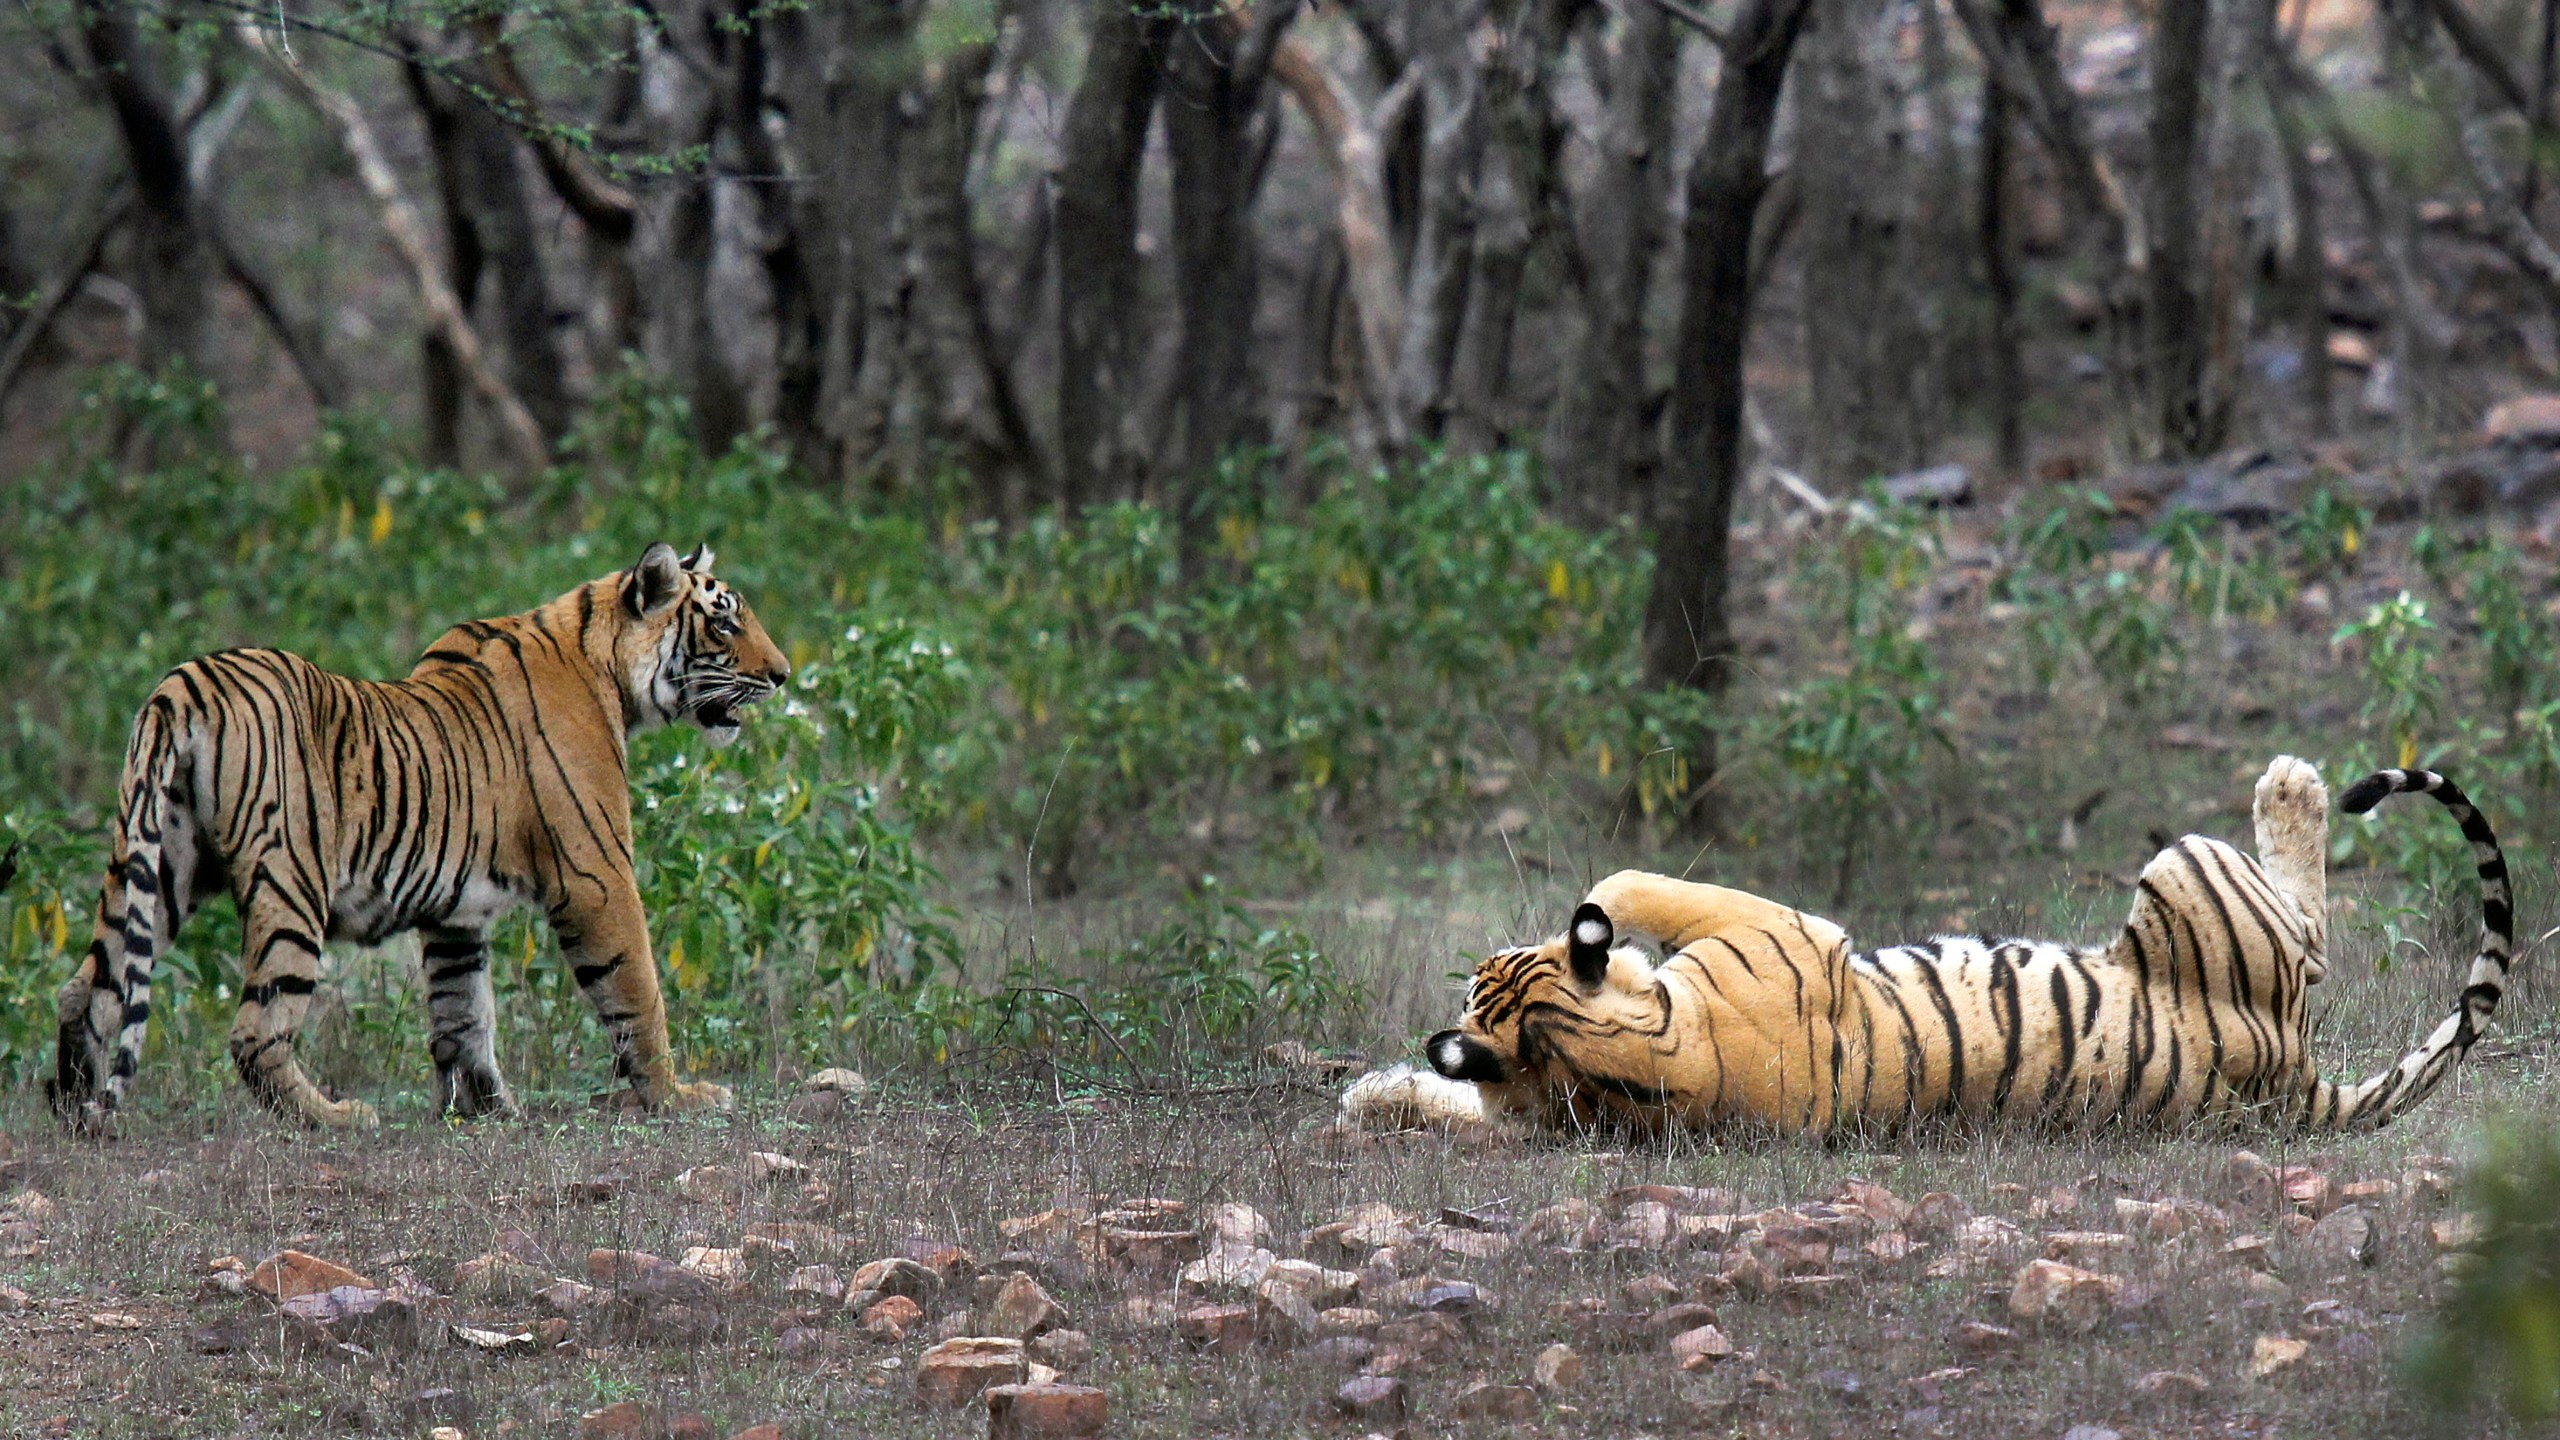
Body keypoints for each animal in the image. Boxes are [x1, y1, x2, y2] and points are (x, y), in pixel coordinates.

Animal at [49, 543, 783, 1127]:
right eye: (725, 621)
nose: (781, 674)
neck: (606, 667)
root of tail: (185, 683)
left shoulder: (456, 913)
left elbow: (465, 1012)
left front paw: (488, 1108)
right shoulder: (596, 875)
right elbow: (637, 993)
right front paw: (677, 1097)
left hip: (161, 864)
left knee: (89, 987)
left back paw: (74, 1108)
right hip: (289, 881)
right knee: (255, 1030)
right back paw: (336, 1116)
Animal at [1392, 753, 2508, 1132]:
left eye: (1483, 975)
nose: (1480, 956)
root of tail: (2290, 1079)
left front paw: (1381, 1096)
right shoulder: (1780, 924)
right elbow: (1630, 887)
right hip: (2186, 865)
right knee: (2313, 934)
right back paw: (2292, 783)